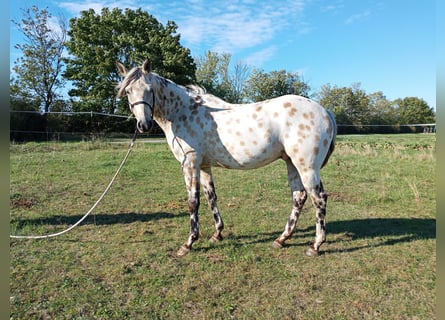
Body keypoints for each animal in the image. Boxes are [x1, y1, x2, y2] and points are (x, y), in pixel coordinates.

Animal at [116, 58, 334, 256]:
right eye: (128, 91)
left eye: (149, 90)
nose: (143, 125)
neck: (182, 112)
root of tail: (325, 111)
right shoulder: (204, 166)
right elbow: (211, 197)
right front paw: (217, 234)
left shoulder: (190, 164)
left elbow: (193, 202)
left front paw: (188, 243)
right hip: (292, 163)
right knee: (299, 196)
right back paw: (282, 239)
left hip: (306, 167)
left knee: (319, 199)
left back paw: (315, 246)